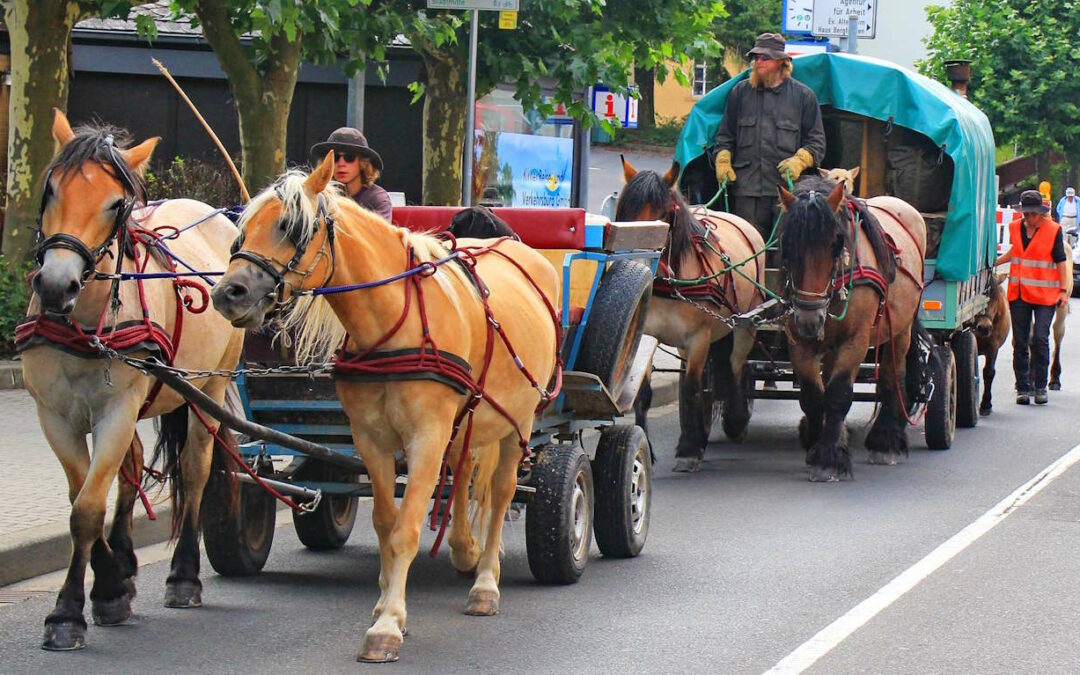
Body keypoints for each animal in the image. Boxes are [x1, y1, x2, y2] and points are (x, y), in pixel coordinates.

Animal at [19, 110, 243, 648]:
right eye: (50, 188)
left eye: (116, 203)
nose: (55, 285)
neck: (84, 321)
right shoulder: (54, 416)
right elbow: (82, 498)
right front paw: (110, 583)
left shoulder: (117, 412)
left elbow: (85, 509)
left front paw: (69, 611)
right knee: (134, 465)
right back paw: (123, 556)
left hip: (208, 388)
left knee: (195, 471)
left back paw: (184, 574)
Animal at [214, 150, 561, 660]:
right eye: (242, 229)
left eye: (291, 227)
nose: (227, 293)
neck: (398, 319)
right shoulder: (371, 439)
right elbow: (384, 522)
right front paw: (384, 604)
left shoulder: (426, 438)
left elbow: (406, 530)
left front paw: (388, 625)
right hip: (468, 421)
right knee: (461, 472)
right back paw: (464, 549)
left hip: (517, 422)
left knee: (500, 493)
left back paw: (485, 583)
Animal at [617, 158, 768, 473]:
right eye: (624, 215)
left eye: (664, 216)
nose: (639, 264)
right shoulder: (646, 334)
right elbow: (645, 394)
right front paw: (647, 446)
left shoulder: (699, 338)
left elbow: (691, 388)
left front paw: (688, 449)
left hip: (745, 324)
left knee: (736, 366)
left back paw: (735, 419)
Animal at [777, 173, 928, 479]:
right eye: (787, 245)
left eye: (836, 243)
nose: (809, 318)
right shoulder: (799, 341)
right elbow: (813, 396)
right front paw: (818, 442)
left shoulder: (855, 341)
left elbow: (838, 394)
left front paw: (827, 458)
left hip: (900, 330)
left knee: (893, 378)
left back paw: (885, 440)